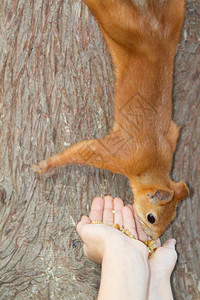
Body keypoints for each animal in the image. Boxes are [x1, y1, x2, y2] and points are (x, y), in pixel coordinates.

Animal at [31, 0, 189, 239]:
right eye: (152, 218)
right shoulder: (120, 156)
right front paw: (47, 165)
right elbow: (84, 151)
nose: (154, 239)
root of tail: (155, 30)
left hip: (174, 15)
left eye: (171, 220)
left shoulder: (172, 136)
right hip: (118, 23)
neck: (152, 164)